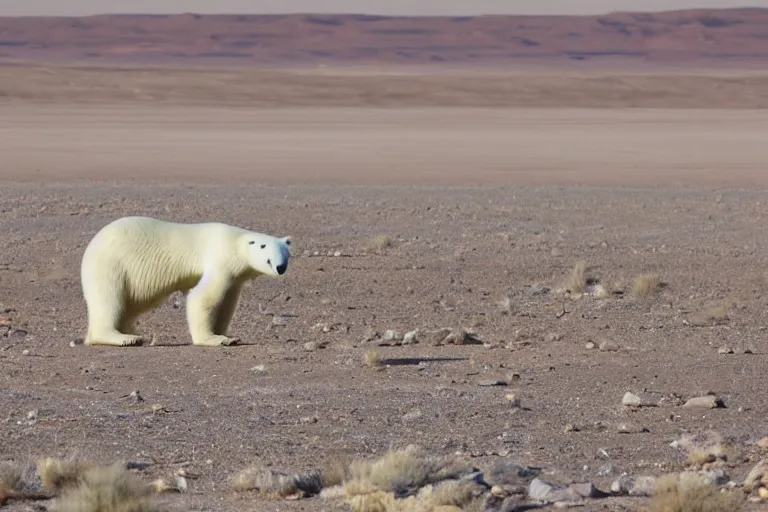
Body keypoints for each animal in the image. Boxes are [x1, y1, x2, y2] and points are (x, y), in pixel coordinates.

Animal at [80, 216, 292, 348]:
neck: (235, 241)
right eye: (265, 249)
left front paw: (227, 335)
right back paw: (127, 338)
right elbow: (203, 298)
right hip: (111, 265)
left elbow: (227, 304)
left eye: (286, 253)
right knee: (109, 300)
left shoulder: (235, 279)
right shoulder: (220, 260)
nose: (280, 267)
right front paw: (216, 339)